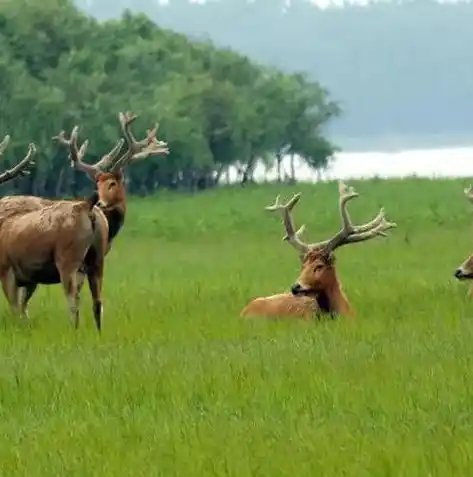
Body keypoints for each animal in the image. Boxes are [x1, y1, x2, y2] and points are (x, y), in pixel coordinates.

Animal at [0, 115, 169, 330]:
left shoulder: (11, 270)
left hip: (67, 259)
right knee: (95, 301)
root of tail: (87, 206)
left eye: (113, 183)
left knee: (73, 301)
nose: (101, 202)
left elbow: (17, 308)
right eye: (98, 183)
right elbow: (20, 308)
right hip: (90, 261)